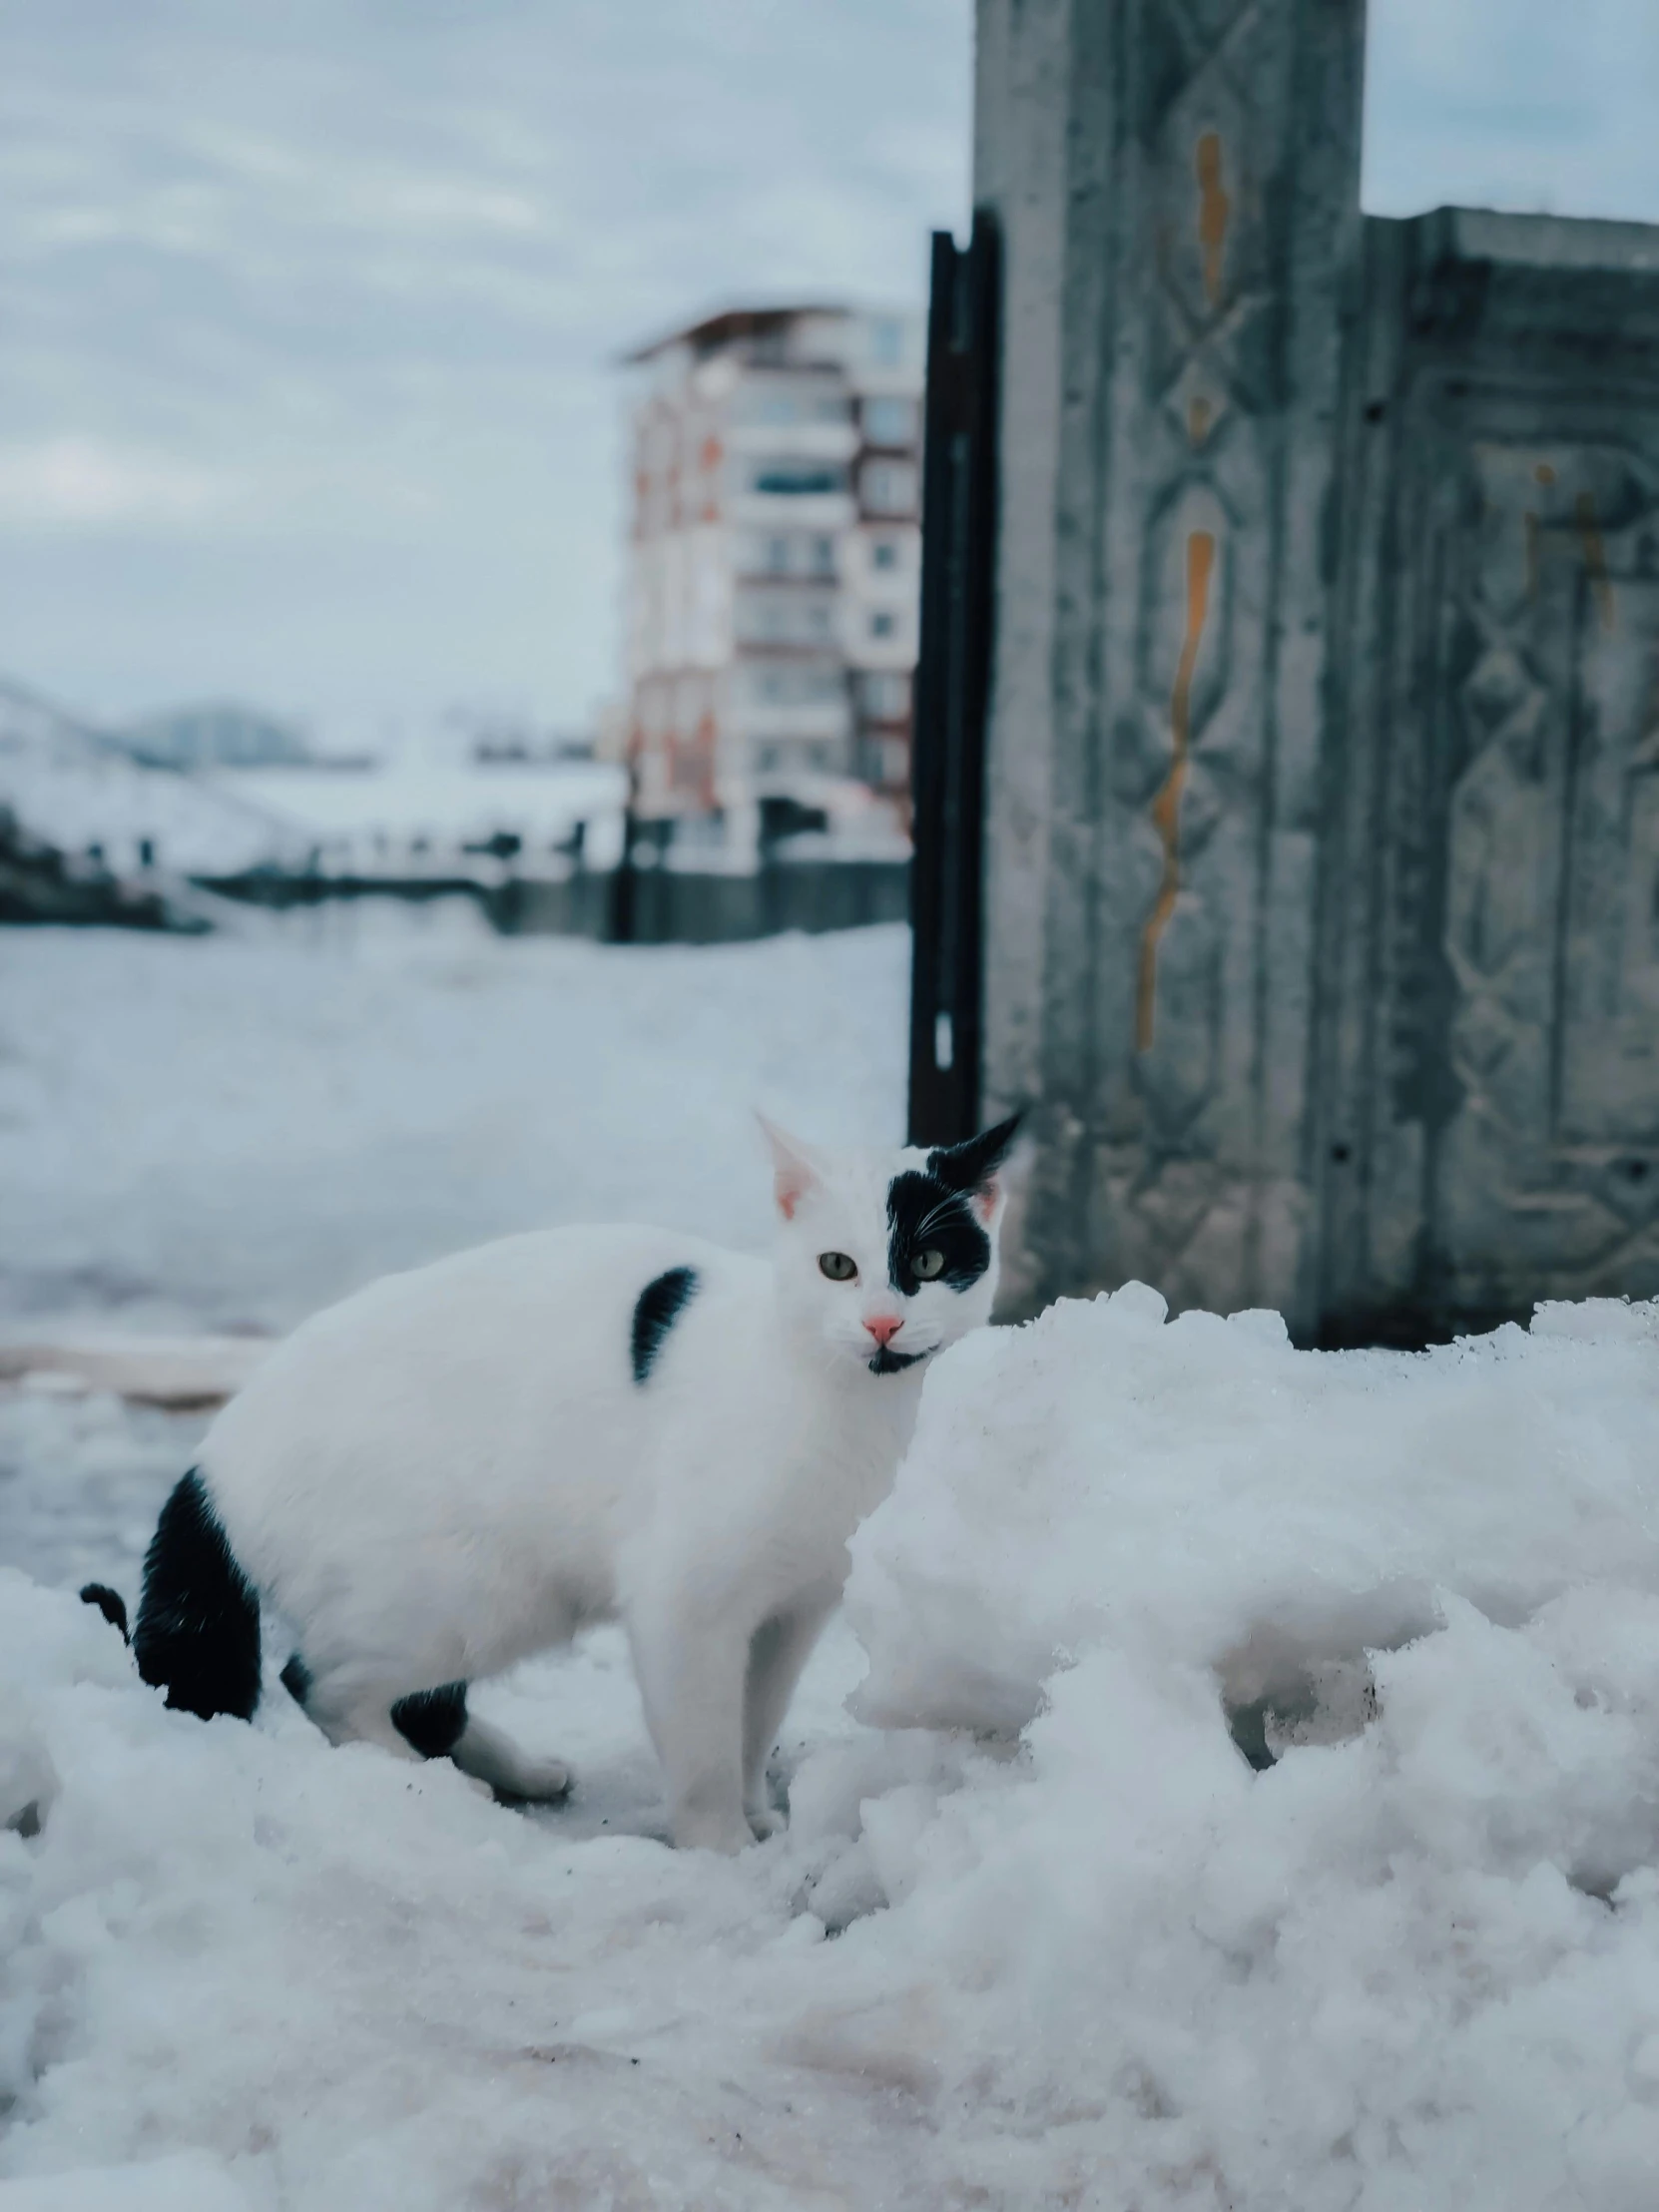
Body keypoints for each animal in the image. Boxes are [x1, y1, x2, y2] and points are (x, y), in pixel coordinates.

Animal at [94, 1114, 1026, 1858]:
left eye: (929, 1260)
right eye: (837, 1266)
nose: (882, 1323)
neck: (853, 1413)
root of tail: (213, 1457)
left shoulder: (791, 1612)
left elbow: (755, 1724)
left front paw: (757, 1813)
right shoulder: (683, 1601)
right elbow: (702, 1742)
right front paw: (720, 1844)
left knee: (415, 1703)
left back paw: (513, 1771)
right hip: (468, 1593)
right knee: (320, 1684)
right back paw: (428, 1789)